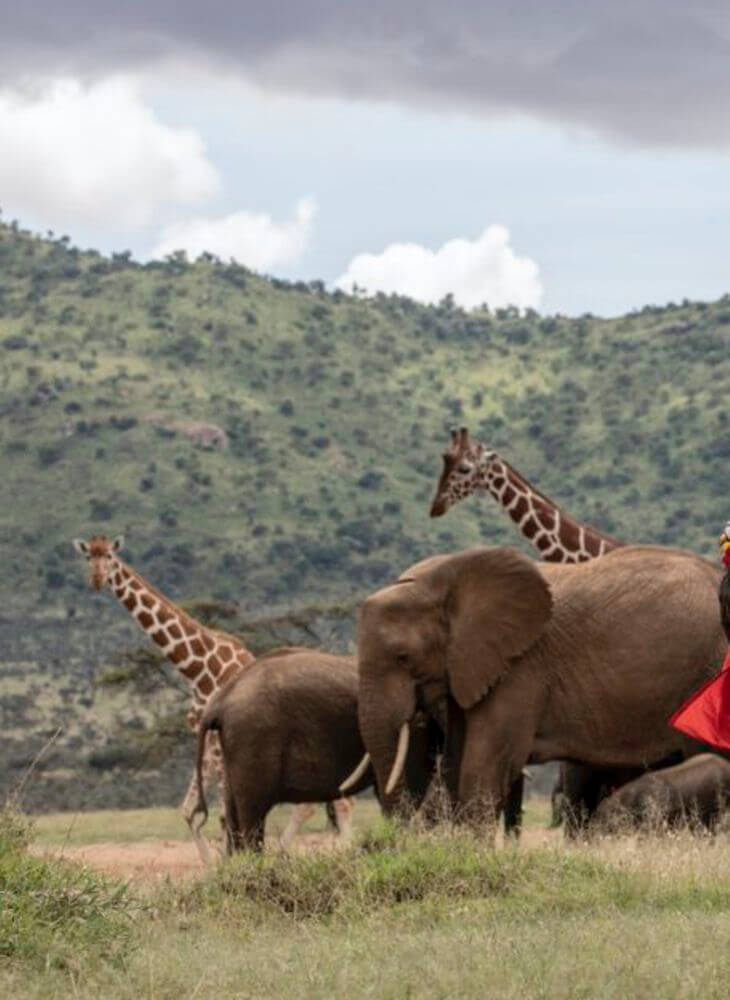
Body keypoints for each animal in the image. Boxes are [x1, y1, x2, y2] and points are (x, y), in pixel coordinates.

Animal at [72, 536, 352, 864]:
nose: (96, 580)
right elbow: (189, 811)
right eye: (89, 557)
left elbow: (222, 816)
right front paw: (212, 866)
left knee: (329, 804)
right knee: (321, 803)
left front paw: (228, 865)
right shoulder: (206, 747)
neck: (198, 669)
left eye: (111, 558)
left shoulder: (220, 751)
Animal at [354, 544, 724, 824]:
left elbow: (485, 762)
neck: (444, 576)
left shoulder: (520, 667)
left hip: (708, 670)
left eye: (403, 657)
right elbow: (455, 761)